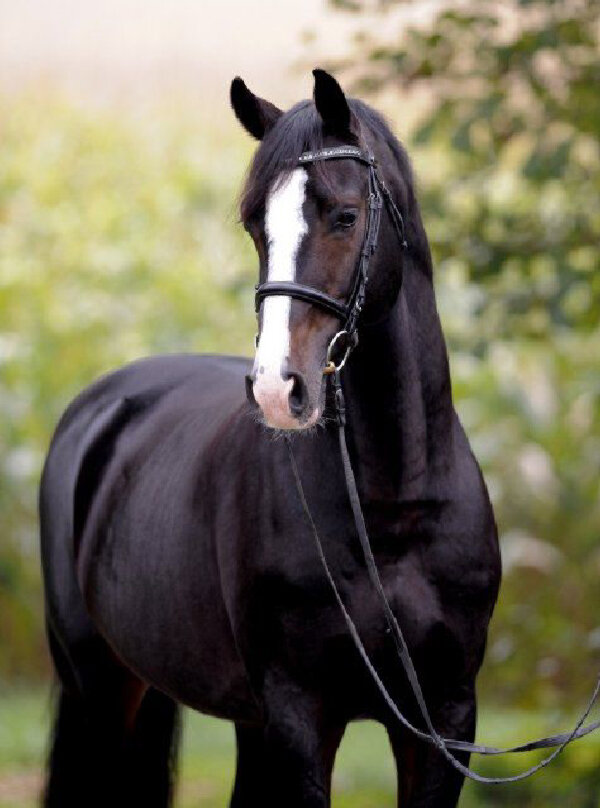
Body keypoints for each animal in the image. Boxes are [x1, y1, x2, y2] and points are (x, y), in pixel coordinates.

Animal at [39, 69, 501, 807]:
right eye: (256, 225)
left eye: (345, 216)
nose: (277, 390)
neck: (392, 510)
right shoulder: (300, 713)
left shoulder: (445, 719)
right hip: (101, 686)